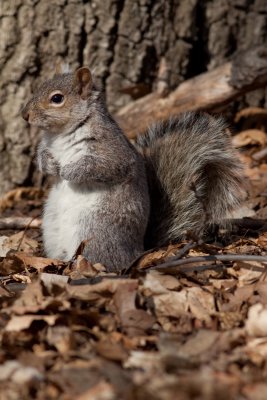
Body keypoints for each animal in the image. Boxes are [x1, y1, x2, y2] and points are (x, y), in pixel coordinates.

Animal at [22, 65, 246, 272]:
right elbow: (41, 157)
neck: (60, 134)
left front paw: (68, 171)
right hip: (52, 226)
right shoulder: (47, 145)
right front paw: (50, 165)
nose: (25, 115)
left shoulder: (111, 151)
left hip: (94, 231)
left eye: (57, 98)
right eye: (39, 87)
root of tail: (139, 250)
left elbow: (101, 167)